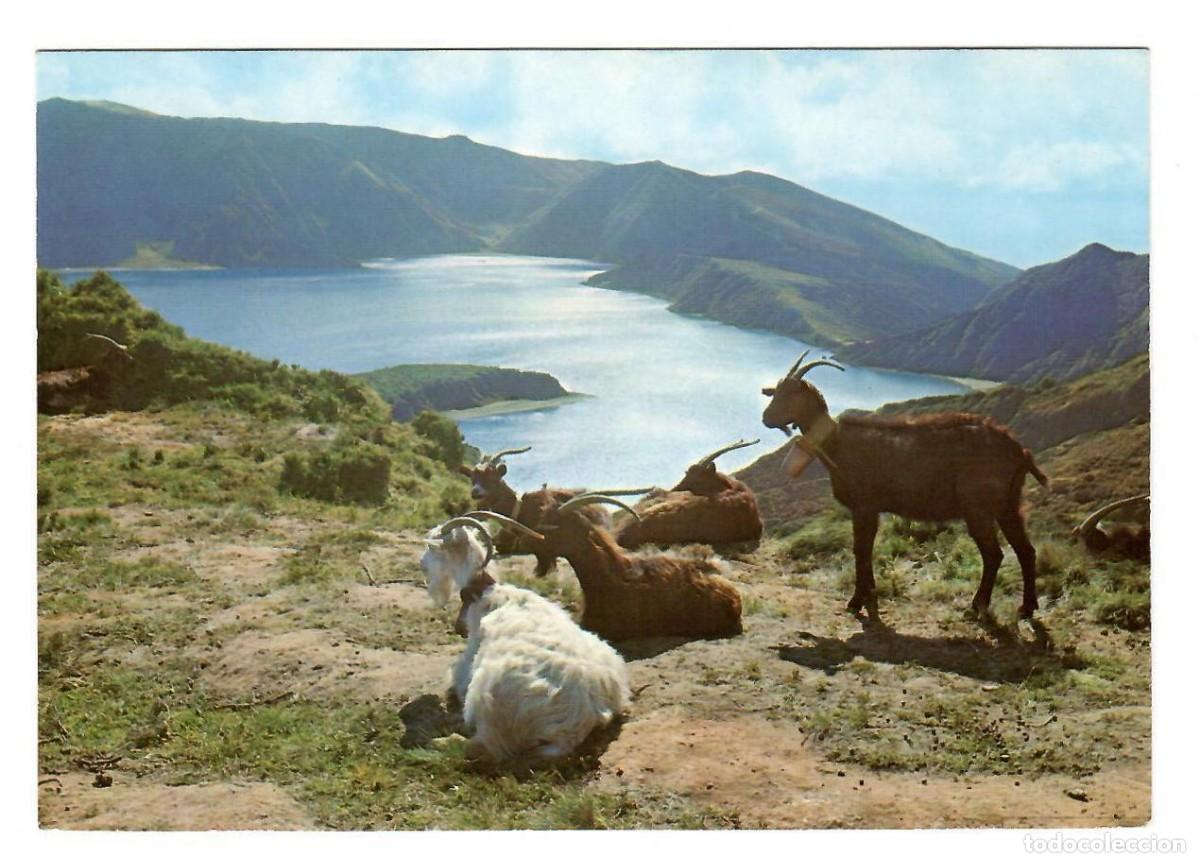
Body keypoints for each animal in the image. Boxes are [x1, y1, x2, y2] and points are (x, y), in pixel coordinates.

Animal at [419, 514, 630, 767]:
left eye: (432, 546)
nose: (421, 565)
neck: (484, 592)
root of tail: (583, 716)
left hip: (490, 698)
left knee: (484, 747)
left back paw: (440, 741)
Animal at [761, 350, 1049, 619]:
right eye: (776, 392)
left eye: (791, 394)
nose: (766, 418)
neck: (838, 443)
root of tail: (1020, 451)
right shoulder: (871, 509)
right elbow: (866, 550)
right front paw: (870, 596)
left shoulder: (864, 506)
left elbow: (860, 550)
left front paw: (856, 601)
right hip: (1009, 505)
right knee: (1026, 550)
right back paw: (1026, 608)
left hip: (978, 507)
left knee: (994, 554)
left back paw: (977, 605)